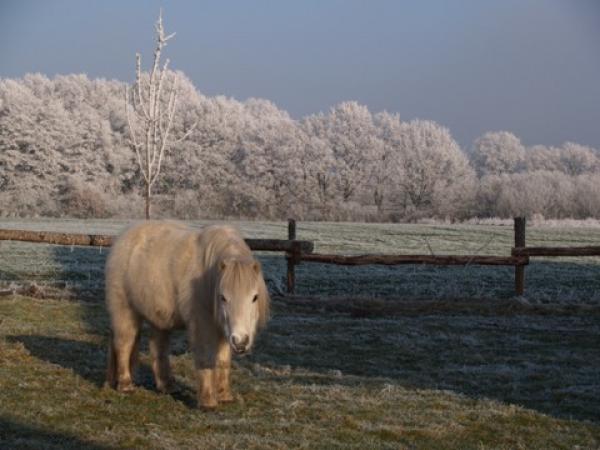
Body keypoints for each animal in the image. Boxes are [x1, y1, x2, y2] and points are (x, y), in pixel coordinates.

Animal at [105, 221, 270, 408]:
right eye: (223, 297)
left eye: (255, 297)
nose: (241, 342)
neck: (209, 279)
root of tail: (123, 239)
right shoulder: (203, 325)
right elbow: (206, 357)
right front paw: (208, 402)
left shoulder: (223, 329)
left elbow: (223, 360)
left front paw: (224, 396)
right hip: (125, 311)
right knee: (124, 344)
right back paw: (125, 385)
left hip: (158, 319)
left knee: (158, 348)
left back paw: (167, 386)